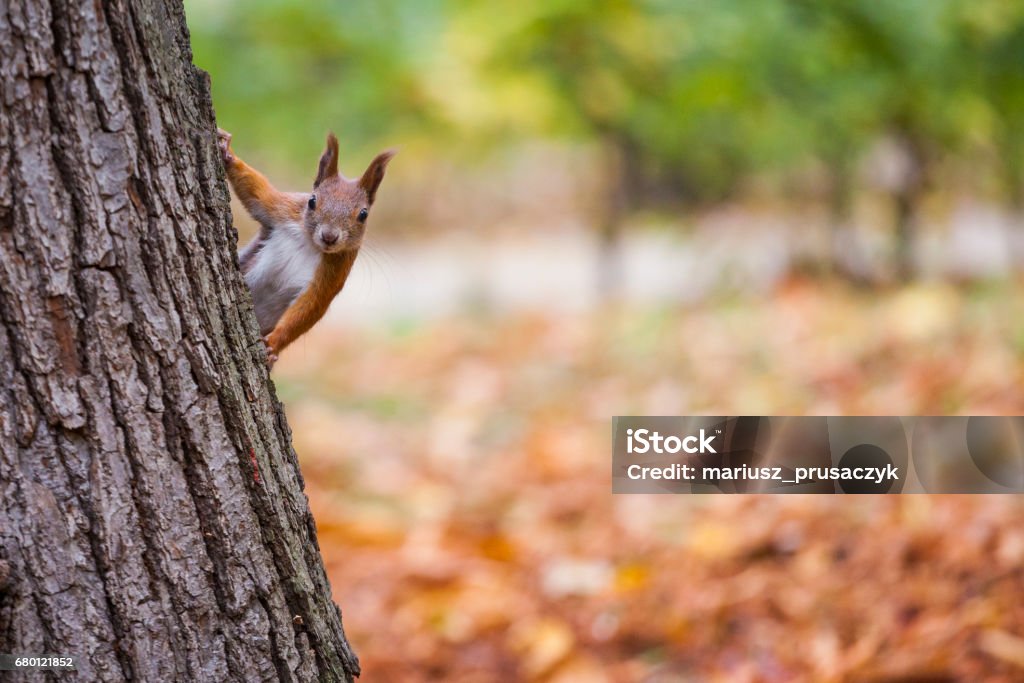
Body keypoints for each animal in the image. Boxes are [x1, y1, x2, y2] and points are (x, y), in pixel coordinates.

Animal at [218, 126, 393, 368]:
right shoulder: (282, 209)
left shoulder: (334, 272)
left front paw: (274, 345)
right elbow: (257, 193)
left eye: (363, 214)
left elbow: (310, 306)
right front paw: (228, 152)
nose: (329, 236)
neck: (309, 243)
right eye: (312, 201)